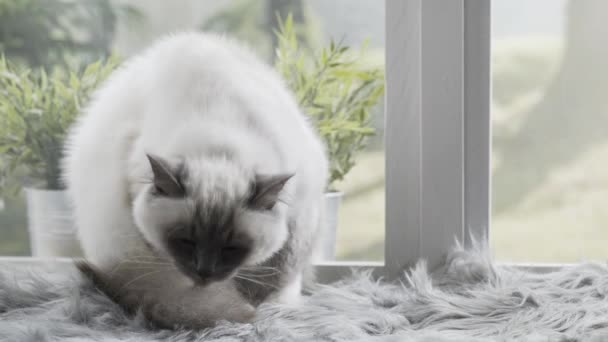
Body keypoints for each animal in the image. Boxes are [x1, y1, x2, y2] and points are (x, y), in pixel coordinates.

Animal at [61, 32, 328, 328]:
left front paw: (264, 309)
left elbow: (271, 278)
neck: (220, 149)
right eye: (185, 241)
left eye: (232, 248)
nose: (204, 273)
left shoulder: (296, 228)